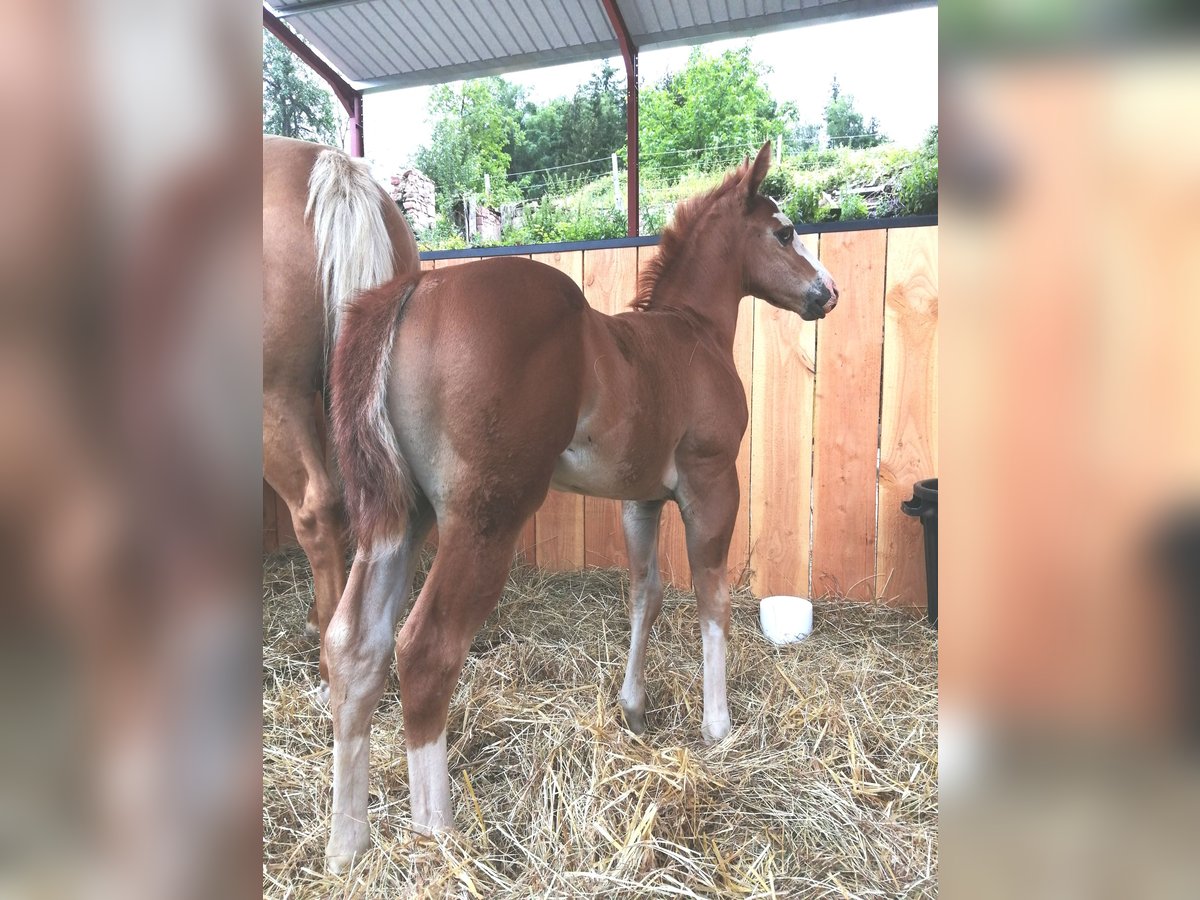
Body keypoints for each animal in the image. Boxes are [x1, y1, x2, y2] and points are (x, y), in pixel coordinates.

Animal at [324, 142, 840, 873]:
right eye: (785, 232)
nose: (827, 293)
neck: (691, 335)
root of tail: (415, 289)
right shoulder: (711, 481)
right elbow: (711, 594)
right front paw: (717, 725)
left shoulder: (640, 498)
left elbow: (645, 593)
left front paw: (633, 707)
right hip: (485, 520)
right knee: (424, 650)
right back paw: (440, 839)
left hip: (402, 517)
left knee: (354, 647)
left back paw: (347, 846)